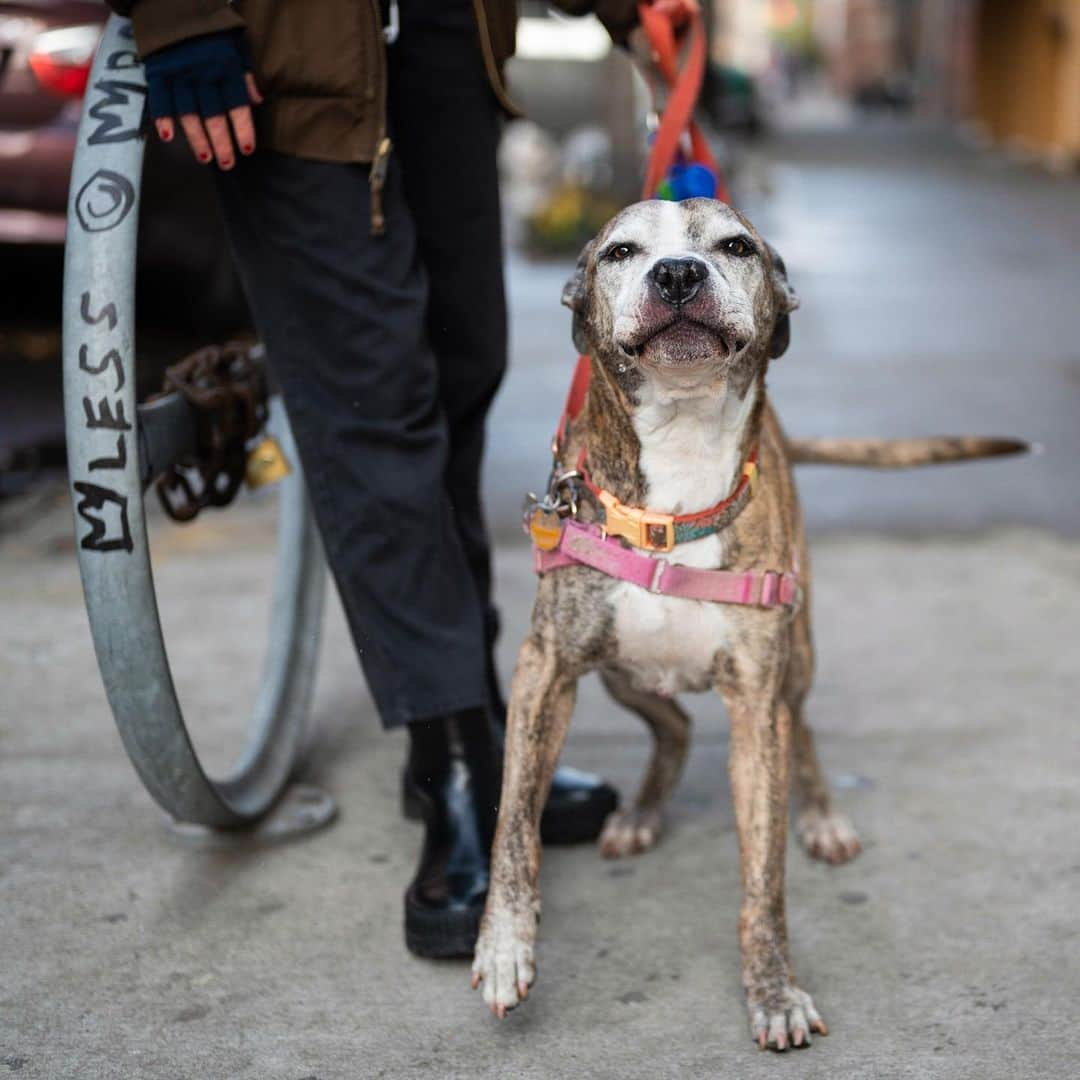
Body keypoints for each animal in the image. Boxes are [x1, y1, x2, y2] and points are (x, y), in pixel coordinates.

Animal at [470, 198, 1019, 1049]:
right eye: (621, 252)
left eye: (735, 247)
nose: (677, 274)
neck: (677, 479)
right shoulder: (544, 670)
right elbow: (513, 825)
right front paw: (504, 947)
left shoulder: (757, 702)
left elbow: (764, 878)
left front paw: (773, 991)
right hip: (620, 671)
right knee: (673, 726)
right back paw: (641, 813)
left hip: (796, 655)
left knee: (801, 732)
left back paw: (822, 819)